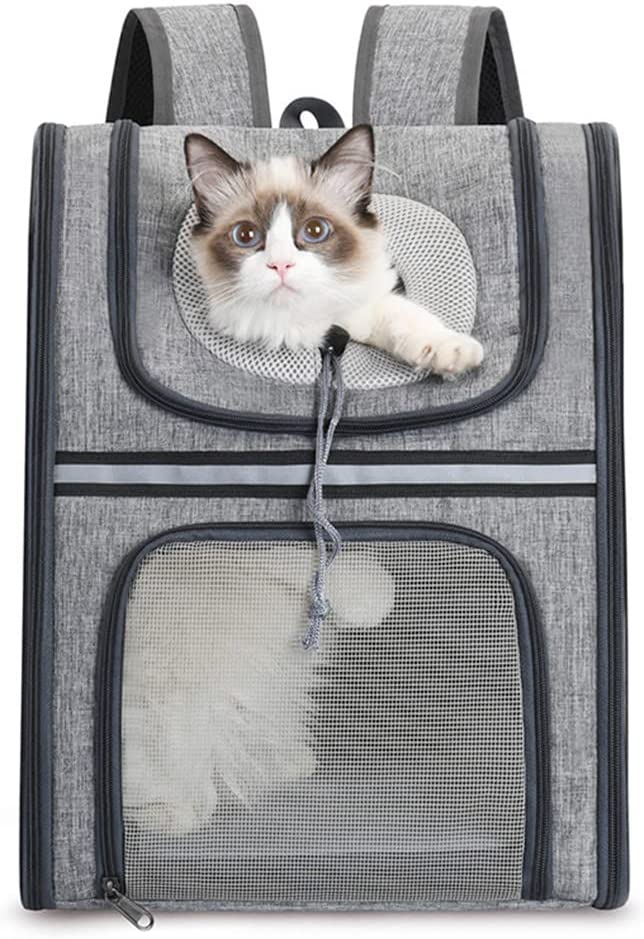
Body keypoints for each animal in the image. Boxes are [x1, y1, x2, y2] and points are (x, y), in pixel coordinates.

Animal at [184, 125, 483, 375]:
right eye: (245, 235)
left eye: (316, 230)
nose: (281, 265)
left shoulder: (364, 306)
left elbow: (404, 315)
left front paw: (455, 352)